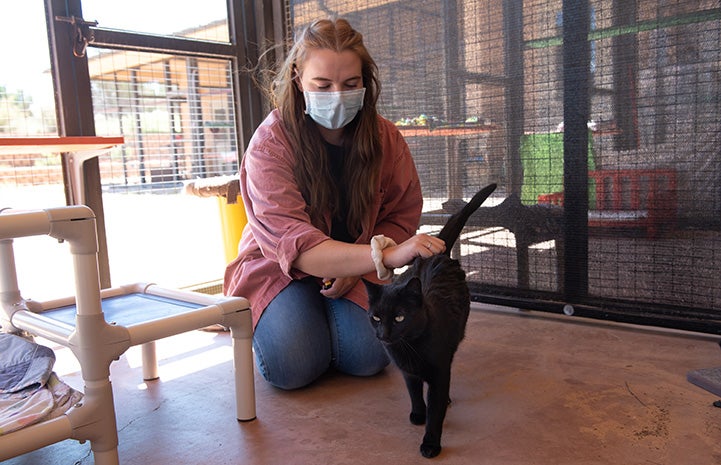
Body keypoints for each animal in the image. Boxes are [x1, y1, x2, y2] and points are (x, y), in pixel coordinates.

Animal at [366, 181, 496, 456]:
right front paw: (418, 414)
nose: (383, 334)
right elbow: (414, 394)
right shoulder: (408, 373)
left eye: (399, 317)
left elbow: (436, 411)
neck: (410, 348)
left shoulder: (439, 373)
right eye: (376, 317)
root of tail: (436, 254)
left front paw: (431, 443)